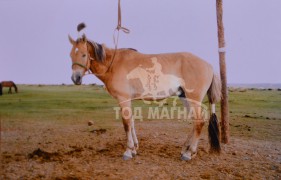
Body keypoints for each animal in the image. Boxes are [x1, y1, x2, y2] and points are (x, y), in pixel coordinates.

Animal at [68, 23, 221, 160]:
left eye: (83, 55)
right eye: (71, 55)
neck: (113, 64)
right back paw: (186, 150)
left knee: (199, 121)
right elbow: (131, 122)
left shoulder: (123, 99)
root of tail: (209, 66)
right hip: (185, 97)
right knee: (195, 121)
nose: (76, 78)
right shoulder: (128, 100)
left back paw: (189, 154)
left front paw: (128, 151)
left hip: (193, 98)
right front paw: (134, 148)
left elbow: (126, 123)